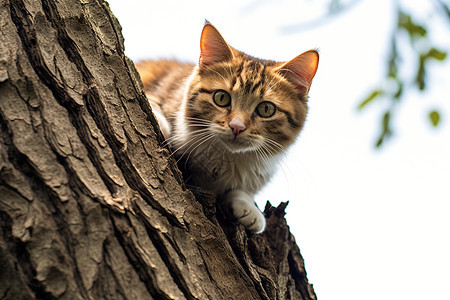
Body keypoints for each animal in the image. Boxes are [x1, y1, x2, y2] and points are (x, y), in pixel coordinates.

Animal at [135, 22, 318, 234]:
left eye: (266, 109)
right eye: (221, 98)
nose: (236, 126)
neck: (226, 158)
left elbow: (239, 191)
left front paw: (247, 205)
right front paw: (159, 118)